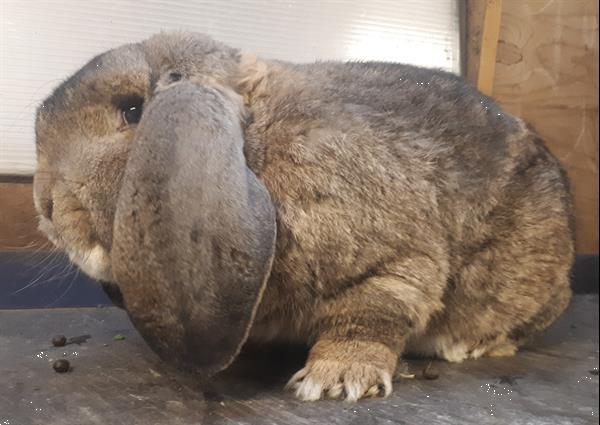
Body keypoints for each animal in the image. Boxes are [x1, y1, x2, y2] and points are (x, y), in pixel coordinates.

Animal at [34, 33, 576, 400]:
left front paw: (336, 380)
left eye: (131, 110)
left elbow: (369, 318)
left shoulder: (395, 264)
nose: (46, 206)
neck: (259, 144)